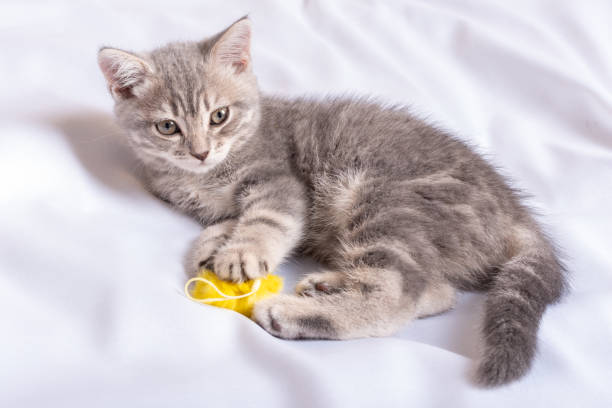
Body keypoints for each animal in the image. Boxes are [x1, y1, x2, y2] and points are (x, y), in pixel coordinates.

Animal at [98, 15, 568, 386]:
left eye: (219, 116)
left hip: (388, 202)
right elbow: (228, 220)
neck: (206, 174)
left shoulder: (281, 182)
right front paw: (213, 243)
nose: (199, 151)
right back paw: (328, 285)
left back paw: (297, 313)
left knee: (399, 294)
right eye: (167, 127)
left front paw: (241, 251)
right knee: (439, 291)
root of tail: (516, 211)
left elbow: (267, 219)